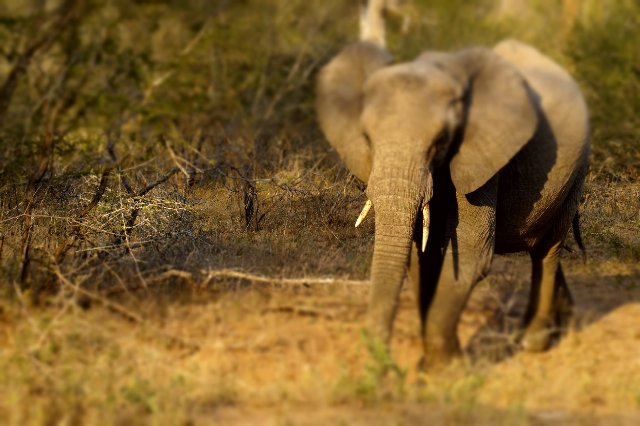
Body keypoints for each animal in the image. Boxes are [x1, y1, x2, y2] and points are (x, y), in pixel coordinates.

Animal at [316, 39, 590, 369]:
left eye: (441, 140)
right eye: (367, 138)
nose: (386, 367)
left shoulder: (482, 158)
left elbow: (472, 252)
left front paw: (449, 369)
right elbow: (424, 254)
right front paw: (428, 366)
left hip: (577, 172)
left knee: (547, 250)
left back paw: (532, 343)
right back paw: (568, 326)